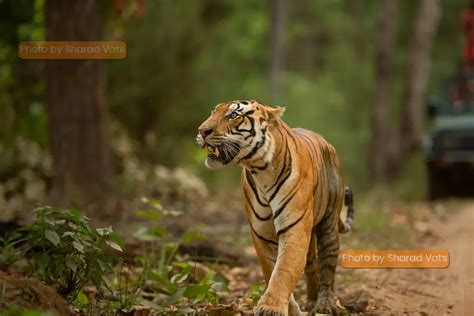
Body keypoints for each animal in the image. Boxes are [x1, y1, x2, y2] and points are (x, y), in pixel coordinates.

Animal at [194, 100, 354, 314]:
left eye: (233, 115)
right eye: (214, 112)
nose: (202, 131)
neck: (260, 169)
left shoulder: (294, 228)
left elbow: (284, 270)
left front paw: (271, 307)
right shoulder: (262, 233)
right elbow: (272, 271)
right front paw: (289, 309)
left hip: (328, 225)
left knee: (327, 266)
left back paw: (324, 305)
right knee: (311, 264)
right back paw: (311, 301)